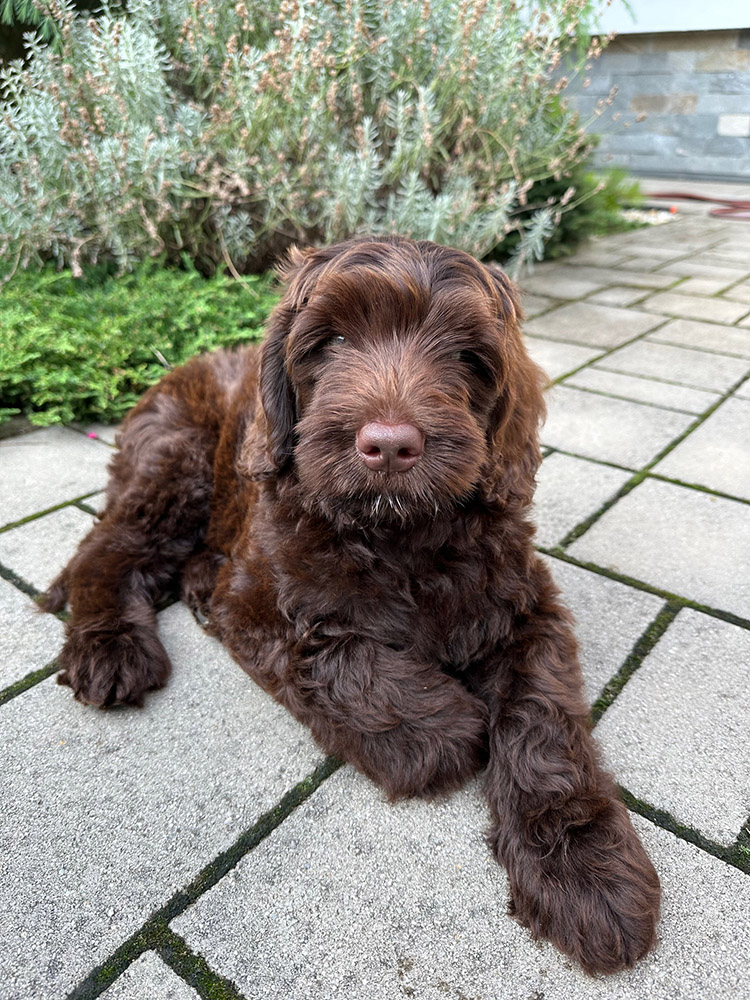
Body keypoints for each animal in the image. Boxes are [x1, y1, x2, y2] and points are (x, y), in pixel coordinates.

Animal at [44, 236, 660, 976]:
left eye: (468, 356)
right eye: (333, 340)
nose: (390, 444)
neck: (400, 535)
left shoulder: (523, 603)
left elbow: (544, 720)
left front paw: (585, 871)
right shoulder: (255, 600)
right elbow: (331, 651)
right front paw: (443, 726)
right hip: (175, 459)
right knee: (109, 548)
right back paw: (110, 647)